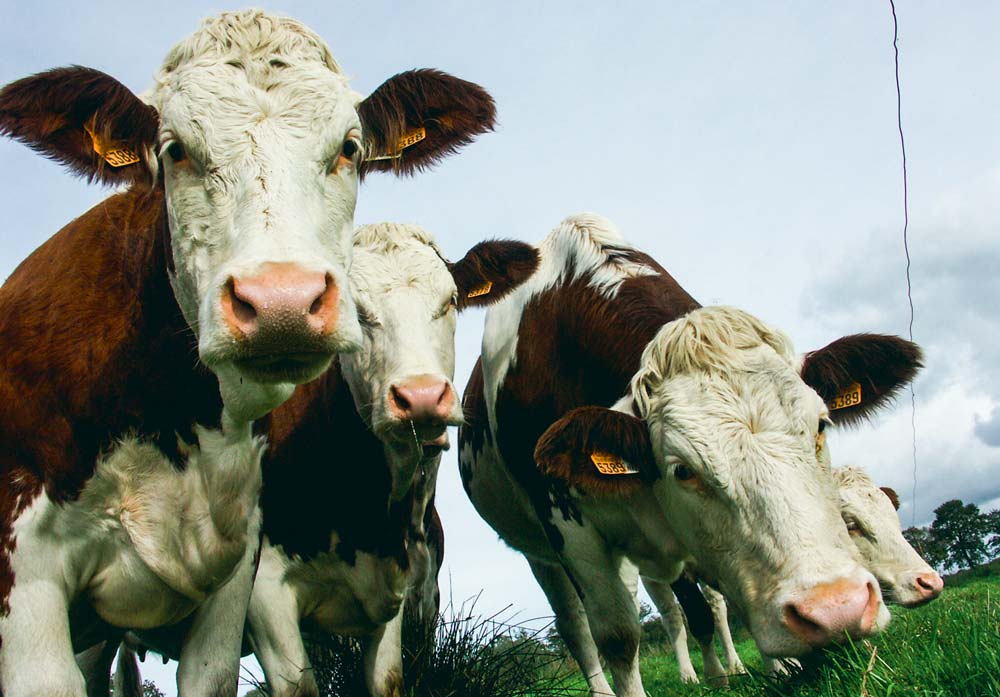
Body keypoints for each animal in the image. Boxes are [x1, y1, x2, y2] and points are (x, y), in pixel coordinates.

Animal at [658, 465, 945, 684]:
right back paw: (693, 677)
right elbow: (701, 619)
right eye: (851, 524)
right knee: (673, 617)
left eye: (894, 519)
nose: (928, 582)